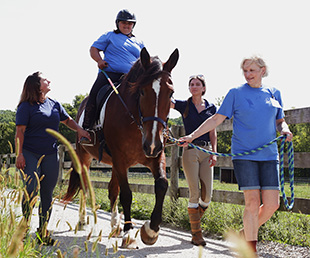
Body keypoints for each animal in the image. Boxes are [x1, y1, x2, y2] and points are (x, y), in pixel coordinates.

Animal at [63, 47, 179, 248]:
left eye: (170, 93)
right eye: (142, 92)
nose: (152, 143)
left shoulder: (155, 156)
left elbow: (162, 184)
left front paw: (151, 230)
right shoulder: (120, 159)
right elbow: (126, 194)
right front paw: (129, 233)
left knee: (112, 189)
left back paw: (115, 225)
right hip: (85, 157)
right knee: (86, 186)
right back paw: (84, 221)